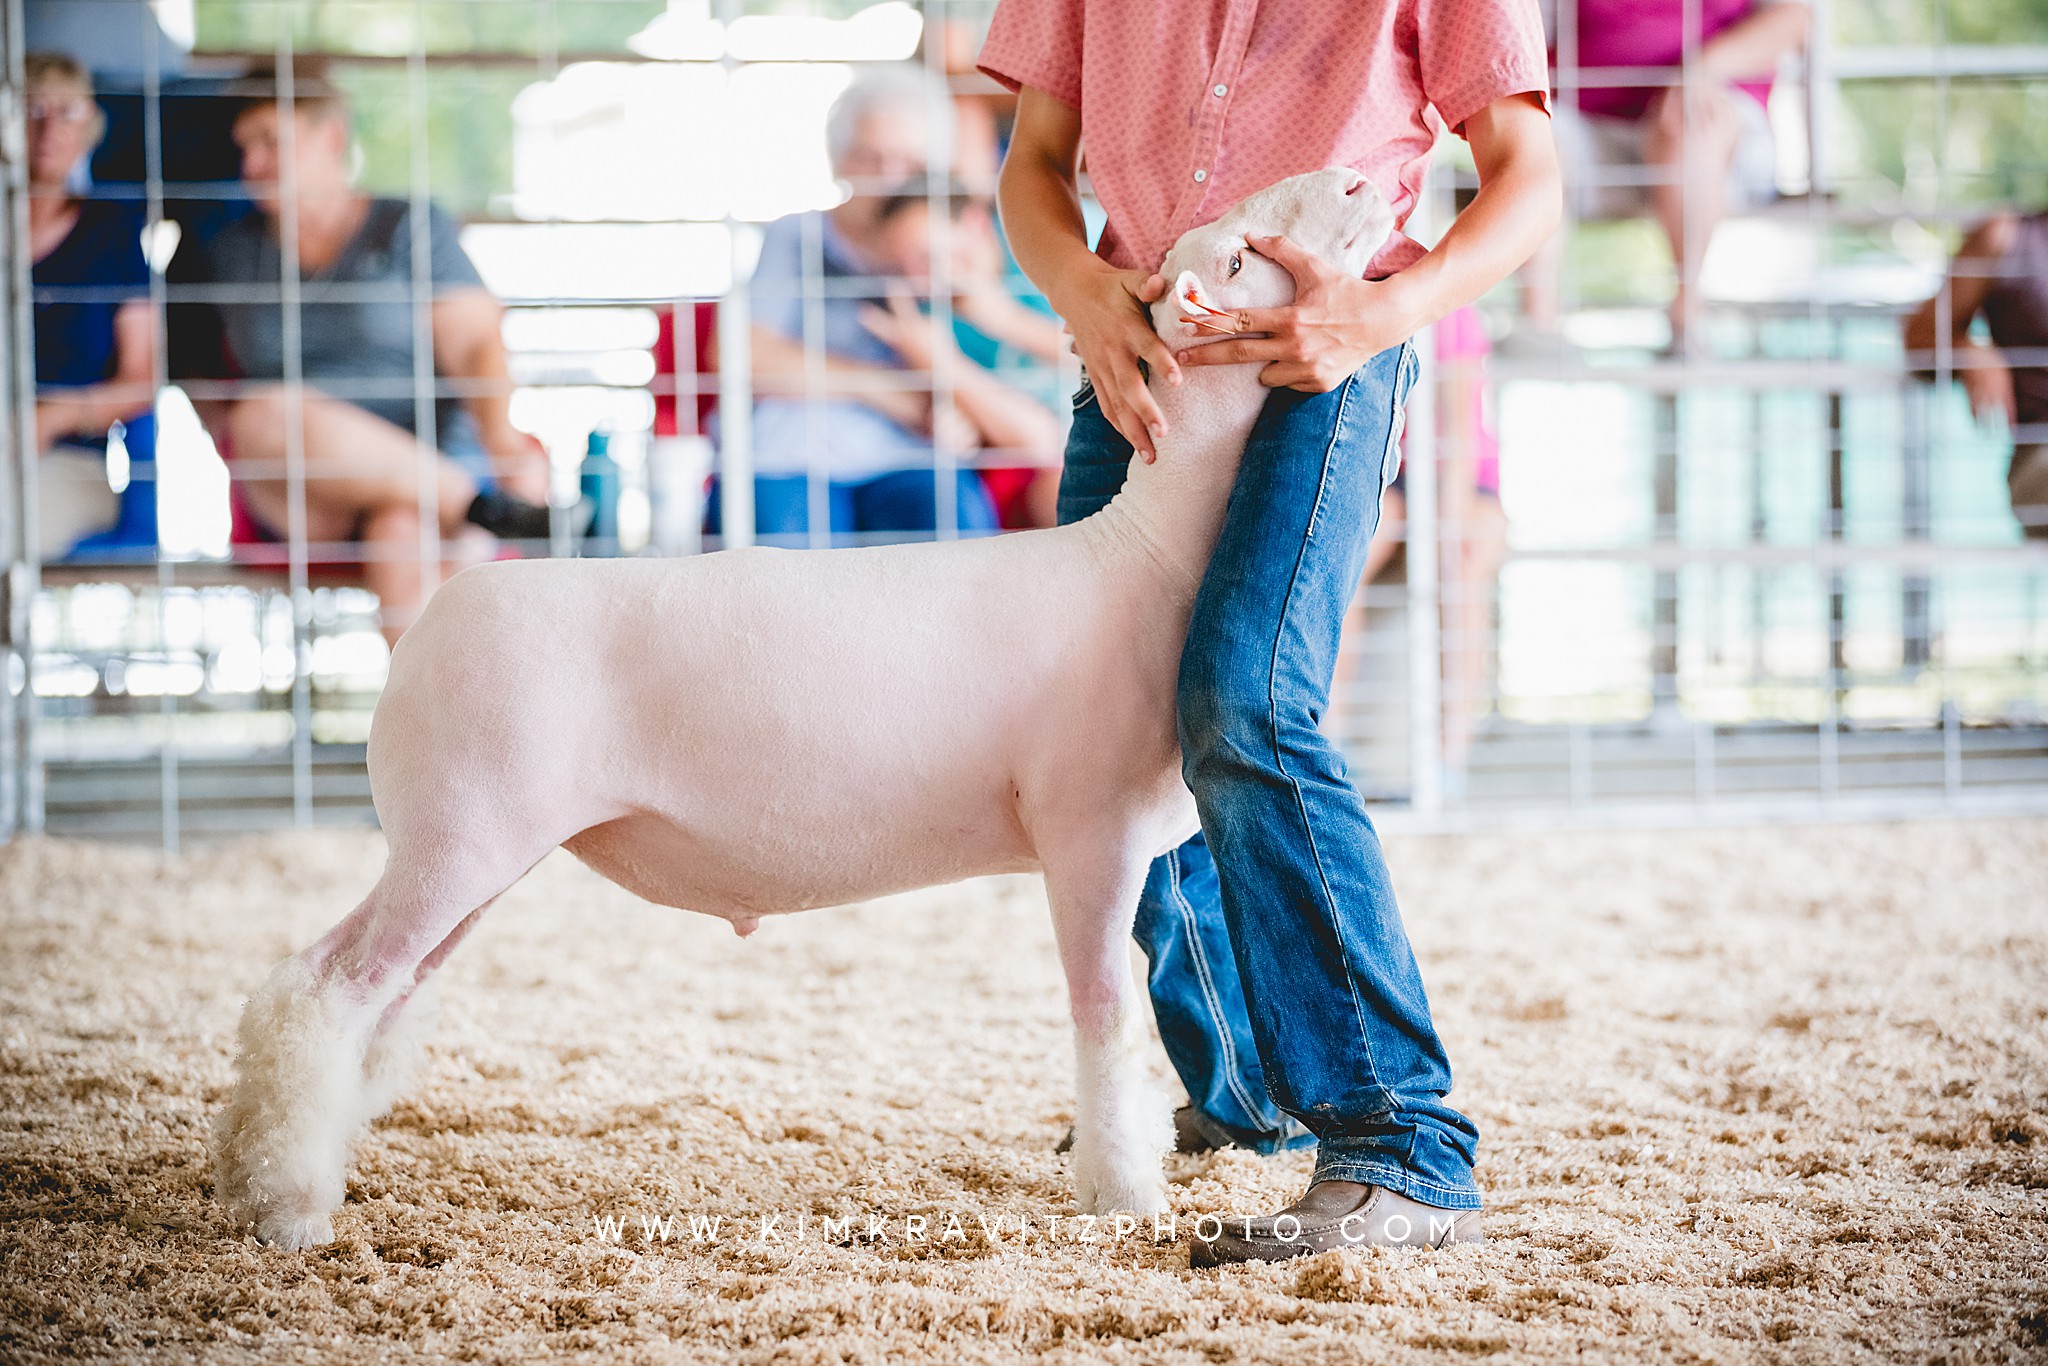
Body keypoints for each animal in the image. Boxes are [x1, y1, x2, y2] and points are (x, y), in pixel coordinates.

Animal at [211, 167, 1392, 1253]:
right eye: (1235, 259)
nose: (1357, 179)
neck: (1142, 560)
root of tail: (428, 628)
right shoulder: (1086, 833)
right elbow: (1104, 1021)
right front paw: (1123, 1194)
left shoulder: (1127, 846)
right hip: (460, 834)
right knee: (330, 989)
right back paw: (289, 1209)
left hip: (467, 846)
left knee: (355, 992)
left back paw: (251, 1164)